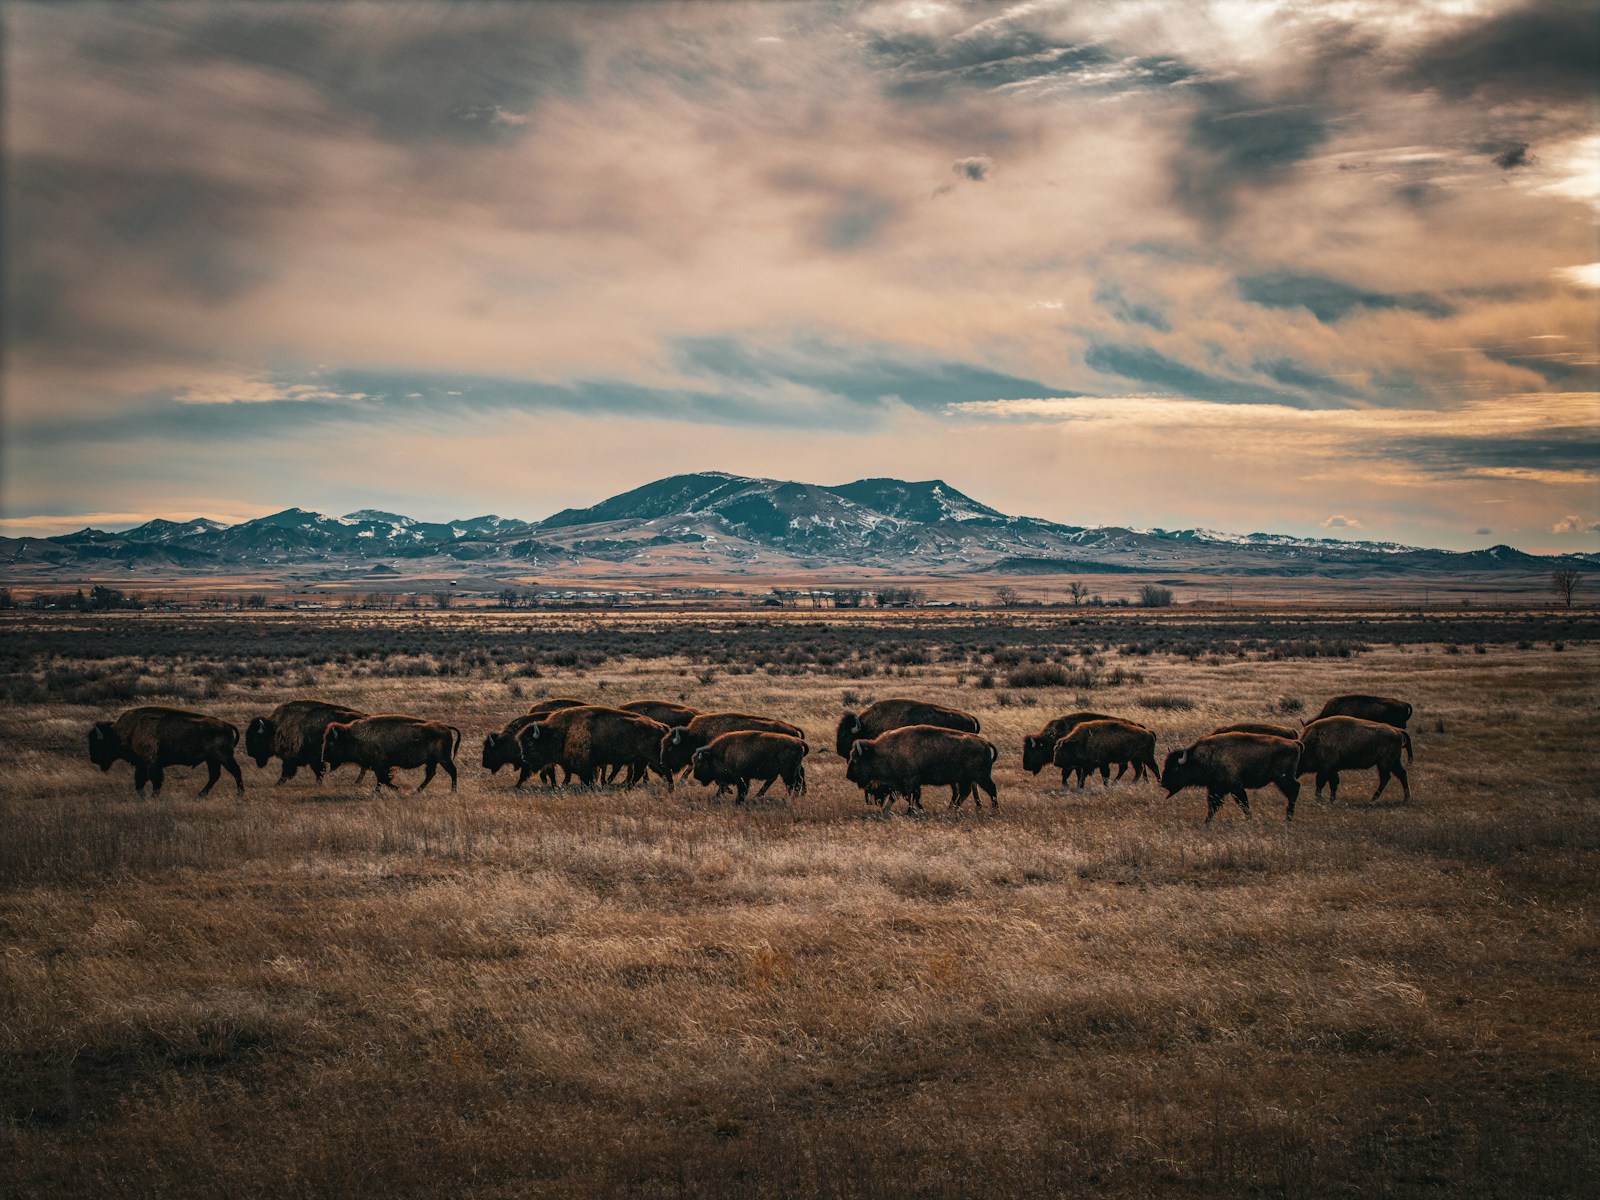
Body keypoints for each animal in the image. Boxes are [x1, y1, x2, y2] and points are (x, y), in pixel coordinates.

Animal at [88, 706, 243, 798]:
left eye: (99, 743)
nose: (93, 759)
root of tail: (226, 724)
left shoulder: (152, 764)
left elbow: (155, 781)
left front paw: (153, 797)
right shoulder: (141, 764)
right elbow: (140, 782)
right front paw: (143, 796)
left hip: (223, 757)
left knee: (235, 771)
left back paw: (239, 794)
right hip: (212, 759)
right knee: (215, 775)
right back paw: (200, 795)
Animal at [322, 716, 460, 793]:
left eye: (331, 743)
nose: (324, 758)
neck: (354, 737)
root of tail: (446, 726)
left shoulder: (380, 765)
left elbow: (382, 779)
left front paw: (394, 789)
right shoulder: (380, 767)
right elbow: (382, 780)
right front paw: (380, 791)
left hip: (443, 759)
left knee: (452, 771)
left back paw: (453, 791)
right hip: (432, 761)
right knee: (431, 774)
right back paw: (417, 791)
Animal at [1161, 732, 1302, 822]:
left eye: (1175, 768)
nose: (1163, 783)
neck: (1208, 756)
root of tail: (1294, 743)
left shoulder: (1235, 787)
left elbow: (1243, 804)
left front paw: (1250, 819)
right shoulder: (1215, 789)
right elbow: (1212, 806)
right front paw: (1207, 822)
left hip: (1283, 779)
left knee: (1295, 789)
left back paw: (1289, 818)